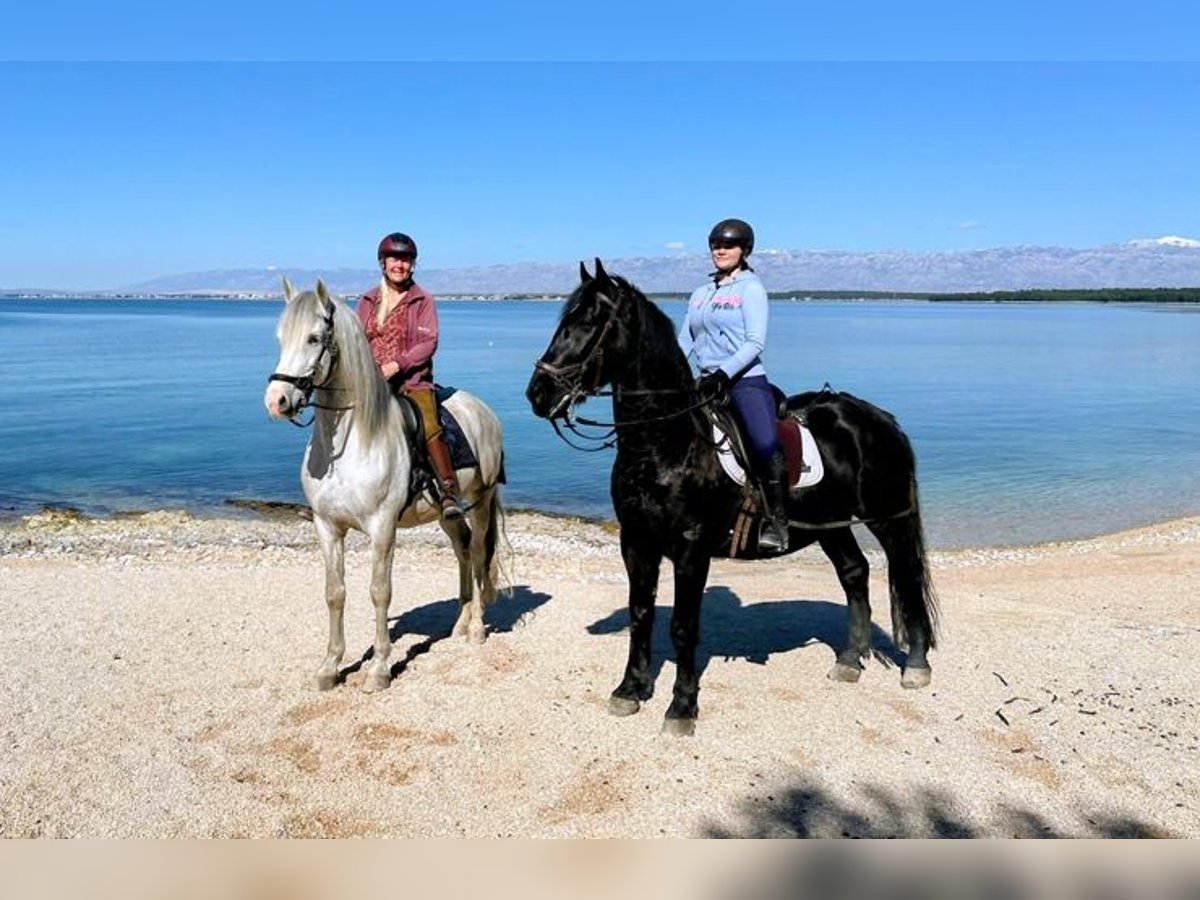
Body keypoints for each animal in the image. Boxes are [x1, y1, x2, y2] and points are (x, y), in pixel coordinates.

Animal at [264, 278, 507, 692]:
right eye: (281, 338)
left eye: (314, 338)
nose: (276, 400)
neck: (351, 441)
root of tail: (485, 412)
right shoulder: (327, 527)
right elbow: (335, 593)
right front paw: (330, 666)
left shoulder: (382, 528)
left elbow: (379, 593)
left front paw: (378, 668)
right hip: (445, 512)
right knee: (461, 549)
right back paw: (459, 624)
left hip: (481, 498)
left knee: (477, 554)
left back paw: (475, 629)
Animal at [526, 260, 939, 736]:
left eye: (591, 322)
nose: (538, 393)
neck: (665, 444)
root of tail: (880, 419)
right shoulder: (636, 541)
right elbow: (640, 614)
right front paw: (630, 690)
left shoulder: (691, 549)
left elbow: (683, 627)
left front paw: (681, 708)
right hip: (829, 524)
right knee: (854, 572)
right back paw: (849, 662)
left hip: (888, 518)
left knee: (906, 576)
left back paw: (916, 666)